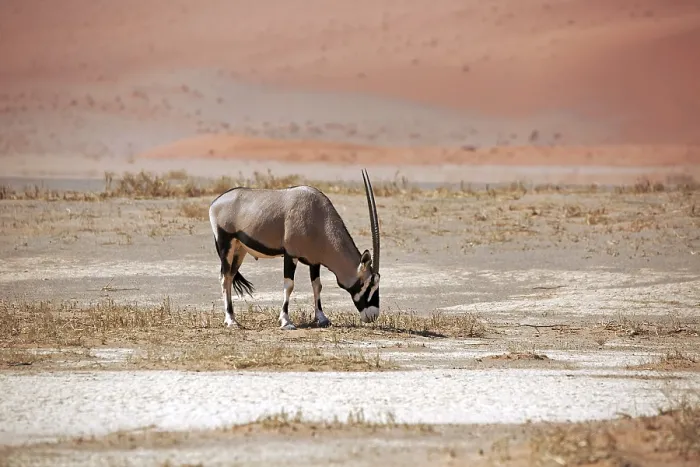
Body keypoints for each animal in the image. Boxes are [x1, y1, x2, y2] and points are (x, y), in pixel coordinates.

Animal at [208, 169, 381, 329]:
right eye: (368, 284)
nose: (373, 315)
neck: (319, 218)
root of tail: (216, 202)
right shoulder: (291, 255)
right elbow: (289, 285)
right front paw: (286, 321)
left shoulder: (314, 261)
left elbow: (317, 286)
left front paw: (322, 318)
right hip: (226, 245)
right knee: (225, 278)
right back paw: (231, 320)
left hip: (239, 250)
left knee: (230, 277)